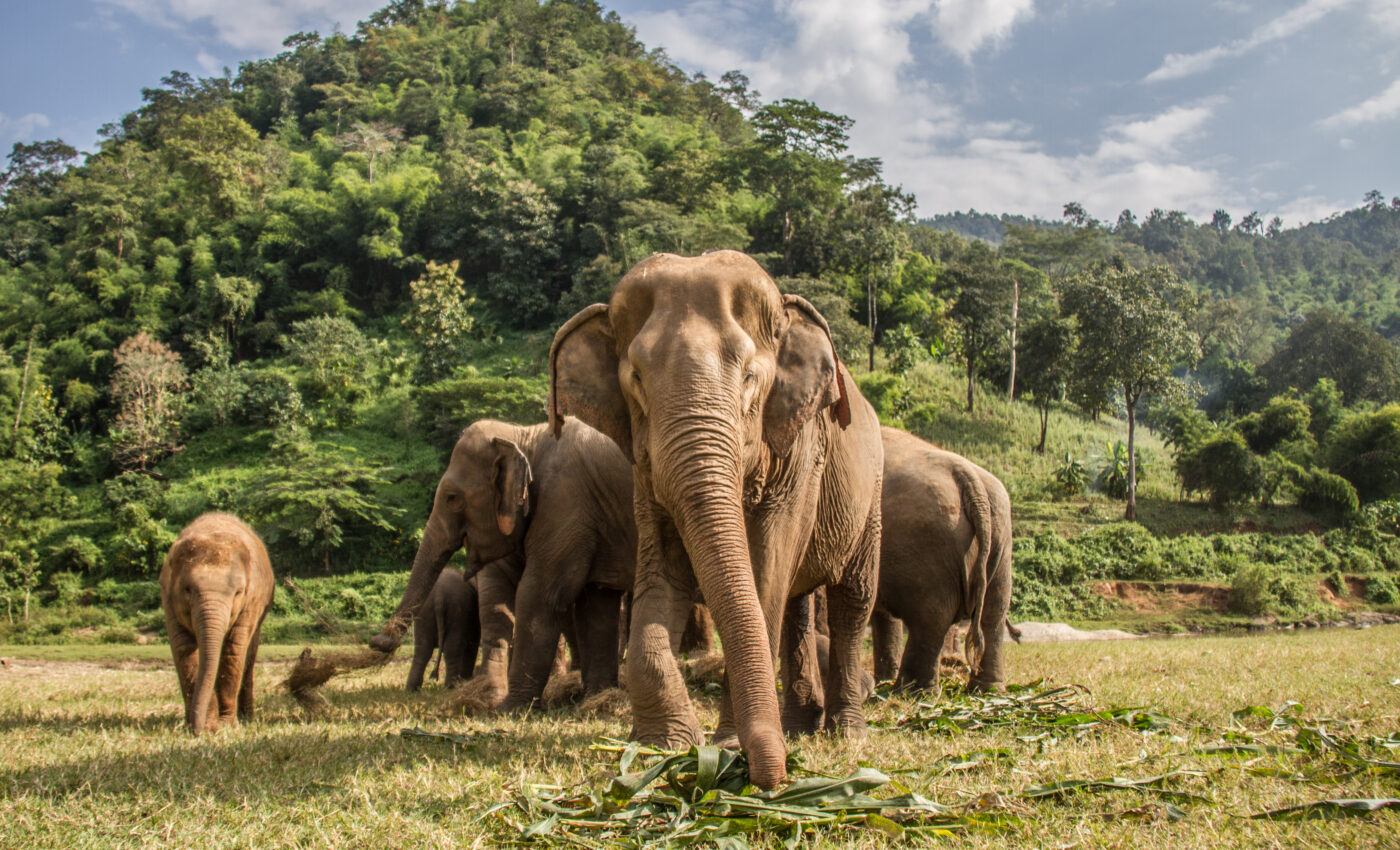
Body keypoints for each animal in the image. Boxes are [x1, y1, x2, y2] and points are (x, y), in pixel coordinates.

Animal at [159, 513, 275, 734]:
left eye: (238, 592)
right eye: (187, 589)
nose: (197, 730)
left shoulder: (251, 601)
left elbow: (234, 650)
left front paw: (226, 725)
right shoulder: (168, 601)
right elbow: (184, 650)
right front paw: (206, 726)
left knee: (249, 654)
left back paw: (247, 718)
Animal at [369, 418, 638, 711]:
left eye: (452, 497)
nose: (379, 641)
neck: (524, 434)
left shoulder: (565, 505)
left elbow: (539, 595)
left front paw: (509, 709)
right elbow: (594, 605)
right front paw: (595, 701)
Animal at [550, 250, 884, 790]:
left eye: (749, 376)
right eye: (636, 379)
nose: (772, 778)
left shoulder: (799, 452)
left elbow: (766, 570)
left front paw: (725, 745)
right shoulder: (645, 469)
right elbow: (662, 569)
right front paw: (663, 746)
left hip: (870, 493)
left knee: (852, 599)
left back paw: (845, 733)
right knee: (797, 604)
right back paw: (798, 727)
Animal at [869, 427, 1013, 694]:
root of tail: (970, 482)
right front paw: (881, 680)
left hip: (926, 544)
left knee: (931, 617)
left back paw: (911, 692)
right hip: (1001, 539)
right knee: (994, 611)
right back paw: (987, 690)